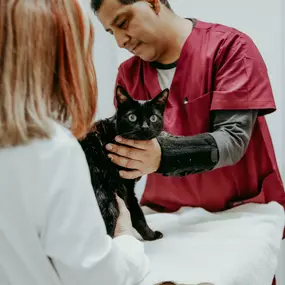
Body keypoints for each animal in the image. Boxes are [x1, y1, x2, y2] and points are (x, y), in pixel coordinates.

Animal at [77, 86, 169, 240]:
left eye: (153, 118)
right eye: (132, 117)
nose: (144, 127)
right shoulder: (126, 186)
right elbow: (138, 214)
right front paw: (151, 235)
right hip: (108, 202)